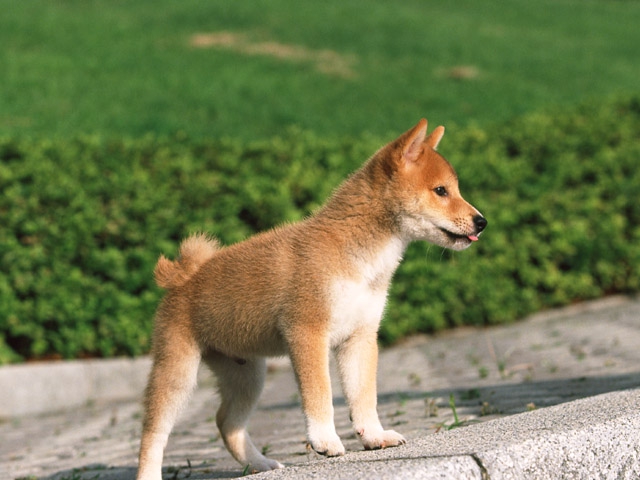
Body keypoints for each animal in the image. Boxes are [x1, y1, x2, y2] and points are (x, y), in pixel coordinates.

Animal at [135, 118, 484, 478]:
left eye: (454, 189)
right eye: (441, 191)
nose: (481, 221)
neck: (360, 257)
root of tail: (183, 277)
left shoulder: (360, 338)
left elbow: (364, 396)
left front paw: (374, 436)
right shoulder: (307, 333)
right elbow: (320, 395)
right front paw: (325, 441)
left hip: (246, 373)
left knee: (226, 422)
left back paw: (260, 464)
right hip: (177, 371)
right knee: (153, 433)